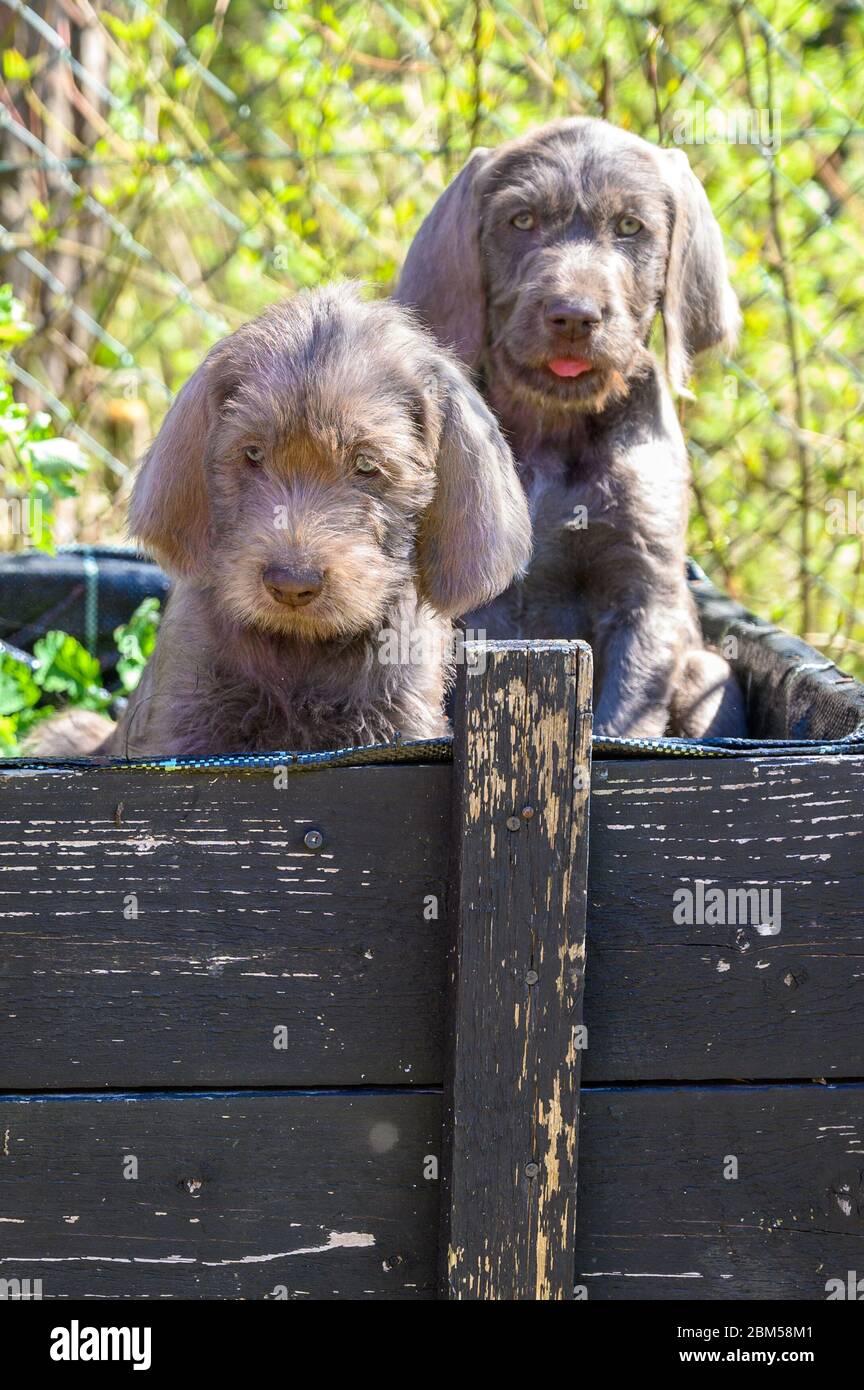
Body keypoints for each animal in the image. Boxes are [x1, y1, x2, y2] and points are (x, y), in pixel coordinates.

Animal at [30, 284, 530, 761]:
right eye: (252, 454)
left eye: (367, 465)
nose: (292, 584)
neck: (300, 649)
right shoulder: (185, 728)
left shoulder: (399, 725)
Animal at [397, 116, 750, 739]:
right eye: (522, 221)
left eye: (630, 226)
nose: (574, 316)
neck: (552, 431)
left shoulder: (644, 594)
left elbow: (623, 719)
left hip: (709, 672)